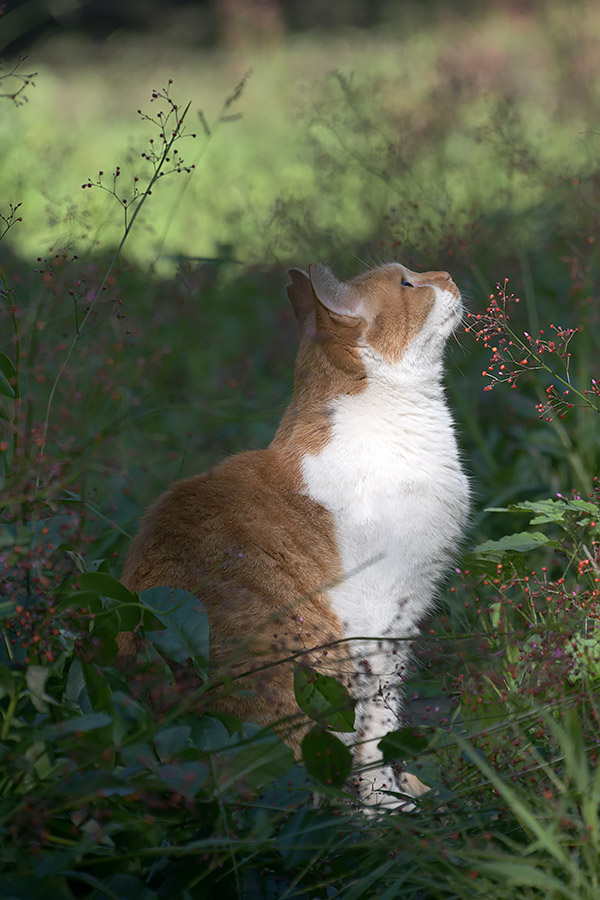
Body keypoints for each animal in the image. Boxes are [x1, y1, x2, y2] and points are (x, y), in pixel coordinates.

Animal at [120, 260, 468, 808]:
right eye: (409, 283)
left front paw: (404, 788)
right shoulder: (384, 624)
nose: (449, 275)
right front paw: (387, 803)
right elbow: (379, 728)